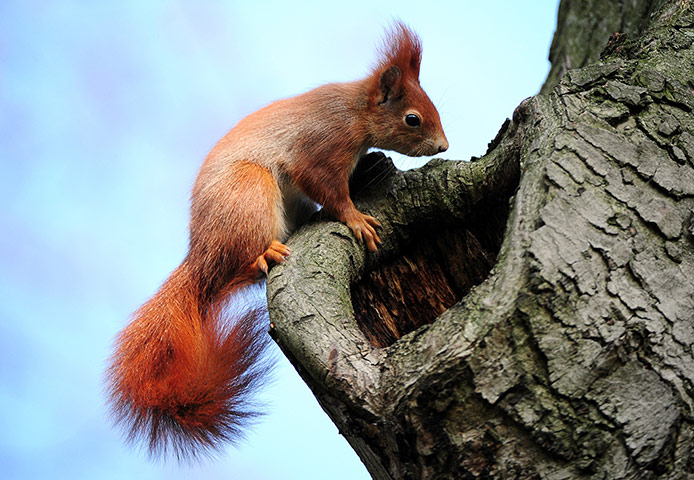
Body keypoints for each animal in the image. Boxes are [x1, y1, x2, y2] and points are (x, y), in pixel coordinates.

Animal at [106, 22, 448, 460]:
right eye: (412, 119)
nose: (443, 146)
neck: (355, 111)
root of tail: (201, 258)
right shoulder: (322, 147)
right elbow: (329, 189)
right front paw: (357, 220)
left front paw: (371, 170)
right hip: (250, 192)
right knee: (245, 262)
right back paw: (264, 253)